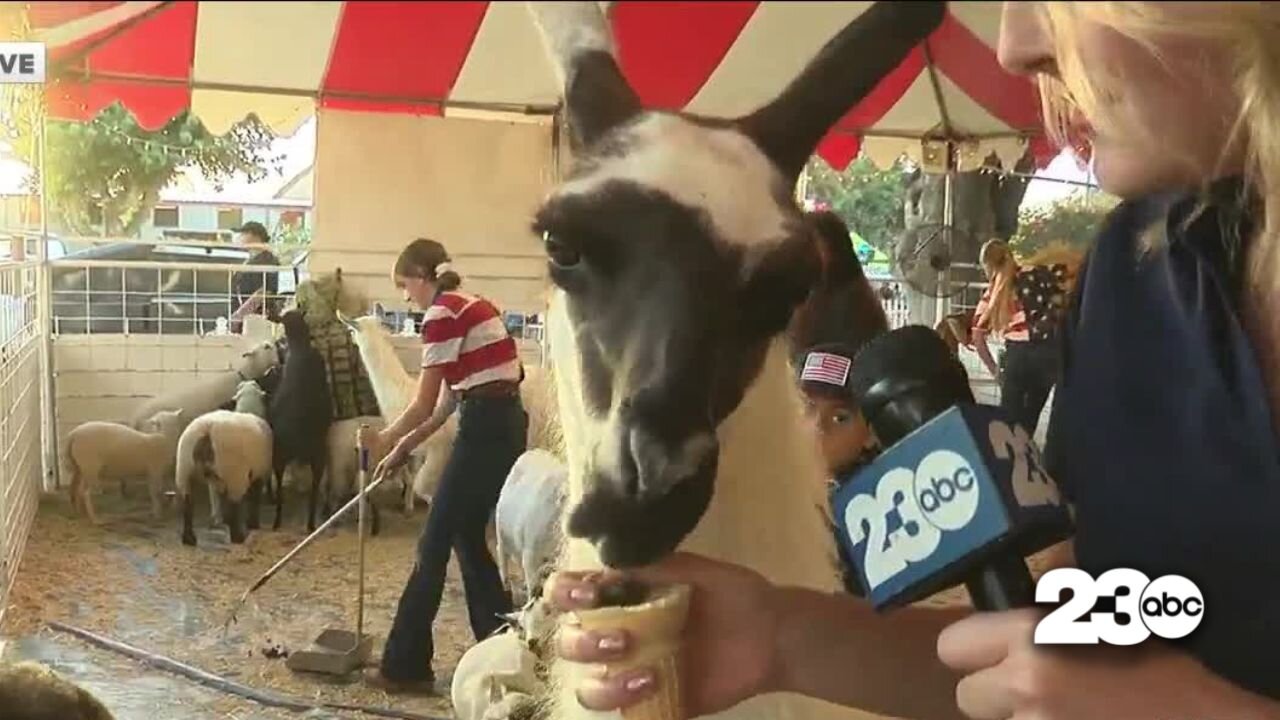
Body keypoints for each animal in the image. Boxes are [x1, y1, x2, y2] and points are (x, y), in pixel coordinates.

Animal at [174, 407, 273, 540]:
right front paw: (253, 524)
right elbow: (254, 500)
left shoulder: (218, 481)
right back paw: (239, 536)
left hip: (185, 470)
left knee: (188, 503)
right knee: (235, 505)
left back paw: (189, 538)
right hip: (234, 474)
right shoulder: (259, 474)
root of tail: (208, 429)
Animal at [494, 448, 565, 599]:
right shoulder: (531, 554)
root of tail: (533, 451)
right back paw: (506, 582)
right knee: (501, 551)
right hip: (501, 529)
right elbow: (534, 589)